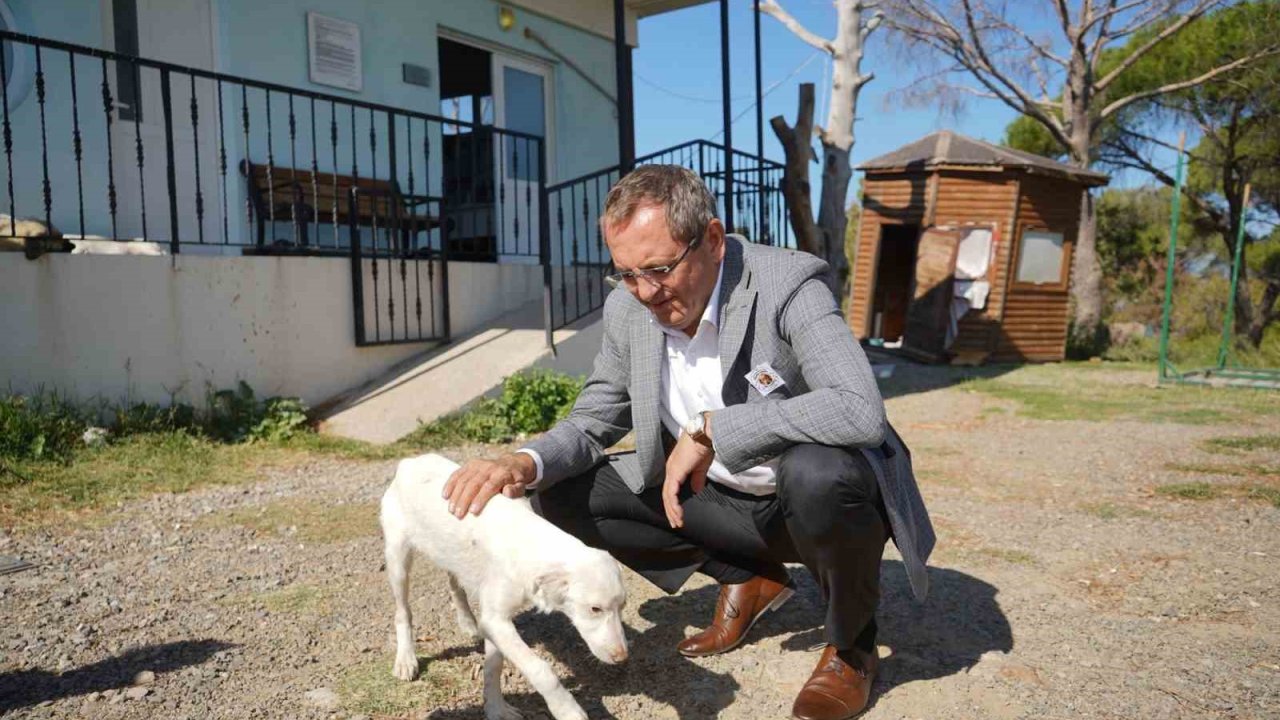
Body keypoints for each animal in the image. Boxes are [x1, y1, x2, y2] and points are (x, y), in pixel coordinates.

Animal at [378, 453, 629, 717]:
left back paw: (467, 622)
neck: (531, 542)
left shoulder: (494, 622)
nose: (622, 657)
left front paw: (495, 708)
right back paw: (406, 659)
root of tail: (413, 460)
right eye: (595, 609)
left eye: (623, 606)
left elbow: (493, 666)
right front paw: (568, 710)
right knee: (403, 612)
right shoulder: (496, 620)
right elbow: (541, 670)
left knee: (455, 583)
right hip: (398, 559)